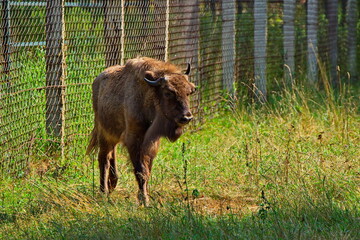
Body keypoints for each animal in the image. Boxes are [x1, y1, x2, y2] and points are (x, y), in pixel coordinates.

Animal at [86, 57, 195, 205]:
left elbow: (147, 170)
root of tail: (97, 80)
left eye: (189, 92)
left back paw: (112, 184)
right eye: (168, 92)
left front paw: (145, 196)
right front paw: (145, 200)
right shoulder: (134, 141)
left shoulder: (152, 143)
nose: (186, 117)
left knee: (111, 154)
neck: (148, 95)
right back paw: (104, 192)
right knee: (104, 159)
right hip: (104, 134)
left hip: (113, 135)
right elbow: (141, 171)